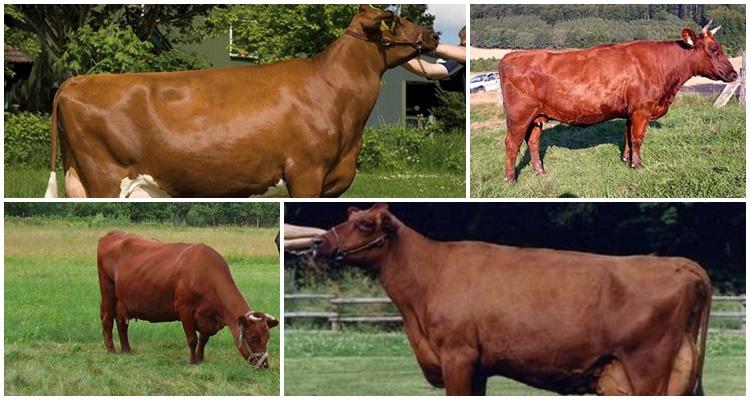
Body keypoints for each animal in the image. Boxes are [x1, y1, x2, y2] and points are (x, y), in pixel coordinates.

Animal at [97, 231, 278, 366]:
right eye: (254, 337)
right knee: (107, 318)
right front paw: (192, 362)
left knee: (122, 323)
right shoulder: (184, 309)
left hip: (122, 300)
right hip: (107, 291)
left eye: (268, 337)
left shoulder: (208, 317)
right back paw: (111, 349)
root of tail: (112, 234)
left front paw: (201, 358)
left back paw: (126, 350)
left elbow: (203, 339)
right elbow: (192, 338)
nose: (264, 365)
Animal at [312, 203, 712, 395]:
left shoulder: (457, 355)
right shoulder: (477, 366)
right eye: (350, 216)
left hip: (648, 370)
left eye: (365, 224)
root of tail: (679, 263)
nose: (319, 241)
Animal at [499, 22, 738, 182]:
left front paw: (626, 159)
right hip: (519, 116)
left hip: (536, 116)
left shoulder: (630, 112)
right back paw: (510, 178)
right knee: (512, 143)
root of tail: (511, 56)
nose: (734, 74)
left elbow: (628, 137)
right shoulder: (642, 110)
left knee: (533, 141)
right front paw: (638, 165)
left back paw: (540, 171)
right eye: (713, 49)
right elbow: (638, 138)